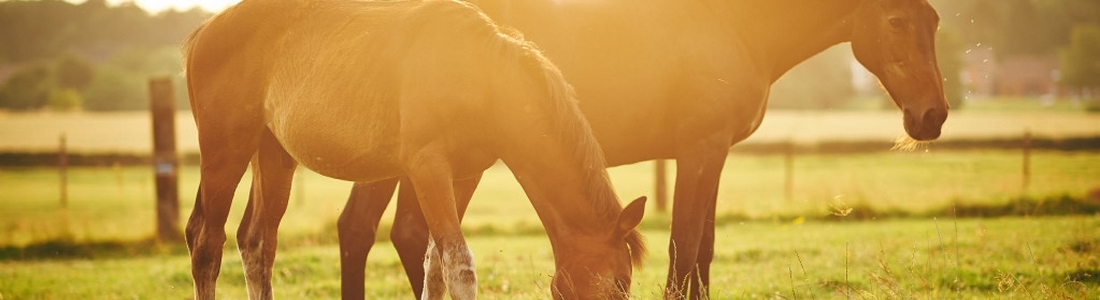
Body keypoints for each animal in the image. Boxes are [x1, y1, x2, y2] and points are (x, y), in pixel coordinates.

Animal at [179, 0, 642, 296]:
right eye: (619, 281)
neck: (483, 76)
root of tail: (204, 32)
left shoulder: (464, 175)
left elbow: (434, 266)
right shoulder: (427, 170)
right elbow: (459, 267)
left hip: (274, 157)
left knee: (257, 243)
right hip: (225, 151)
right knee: (206, 242)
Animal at [338, 0, 950, 296]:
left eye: (936, 20)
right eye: (896, 20)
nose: (933, 115)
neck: (734, 23)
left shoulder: (713, 154)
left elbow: (703, 252)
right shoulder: (700, 151)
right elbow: (684, 251)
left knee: (378, 232)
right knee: (391, 234)